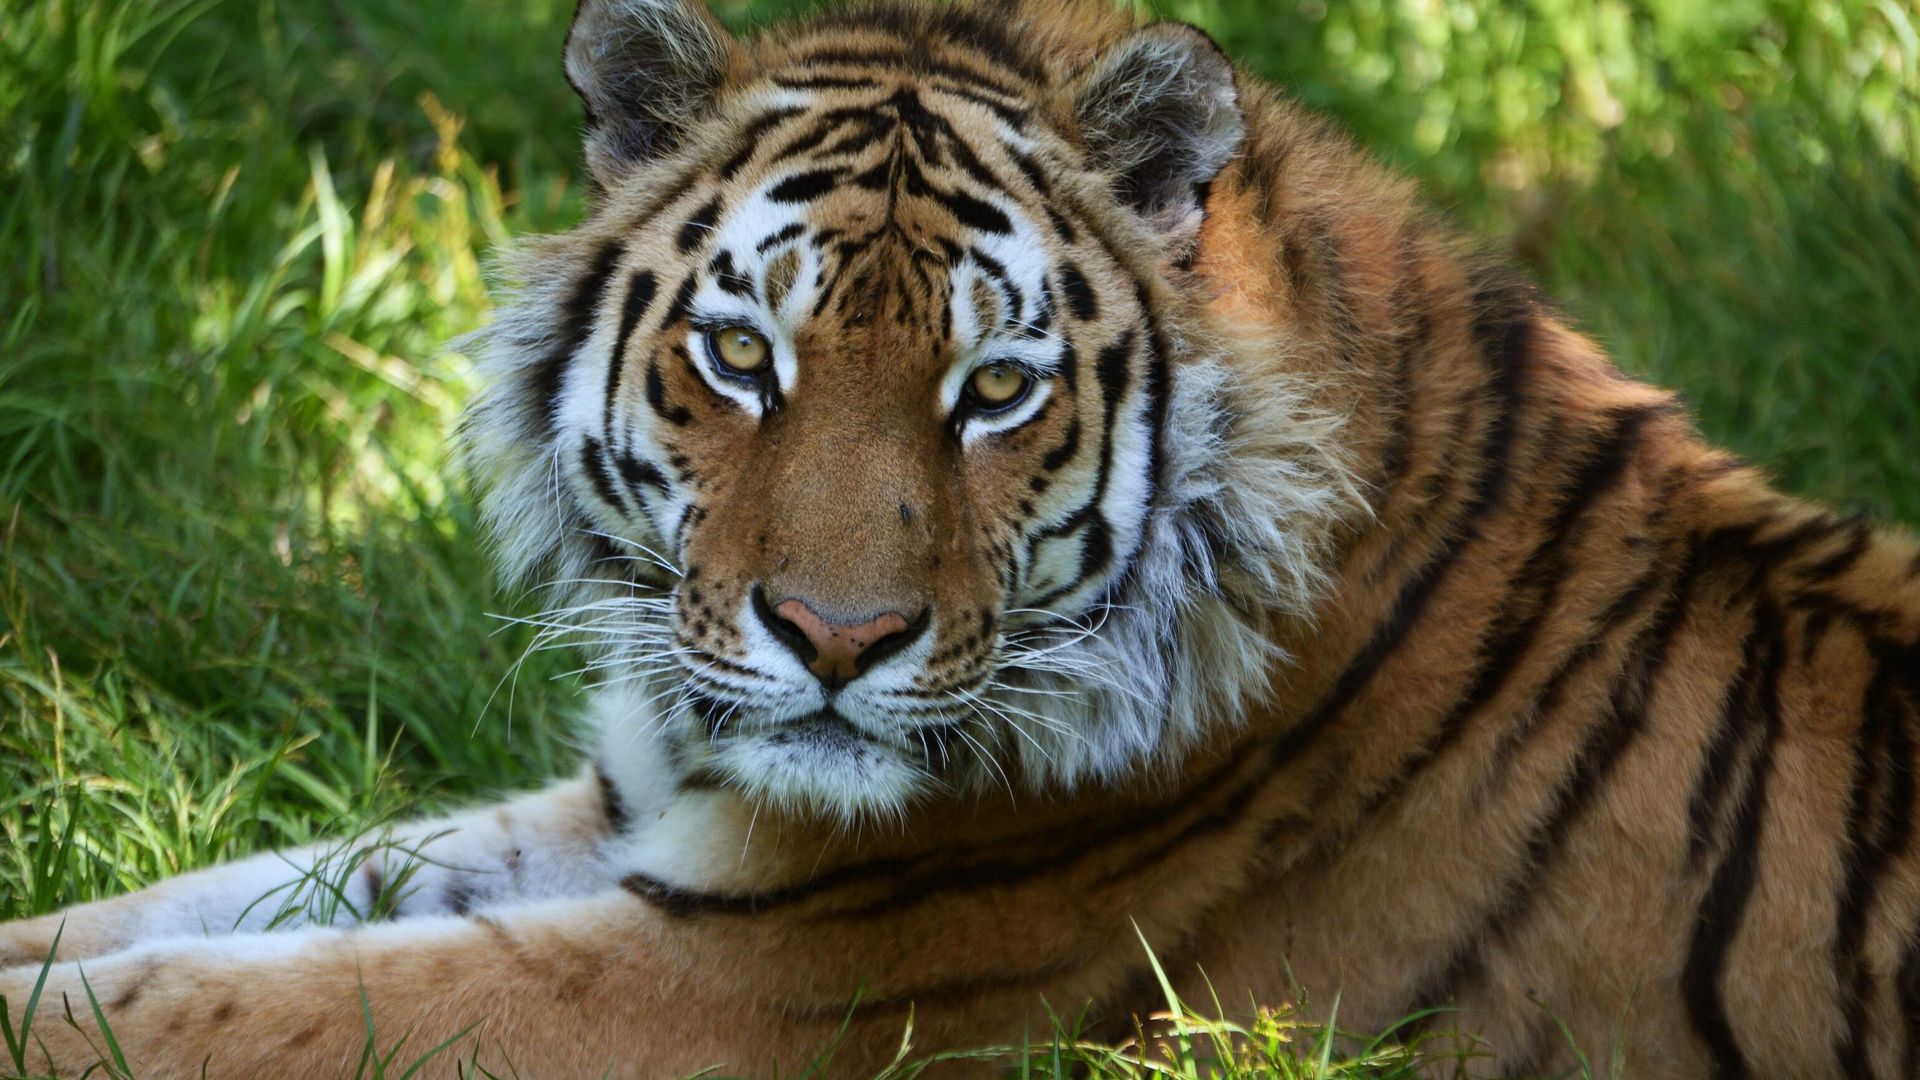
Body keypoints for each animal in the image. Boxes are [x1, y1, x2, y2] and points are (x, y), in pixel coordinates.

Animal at [5, 0, 1919, 1076]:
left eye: (995, 389)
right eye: (741, 356)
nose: (835, 645)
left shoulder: (755, 979)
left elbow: (214, 1006)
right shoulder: (641, 817)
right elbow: (203, 910)